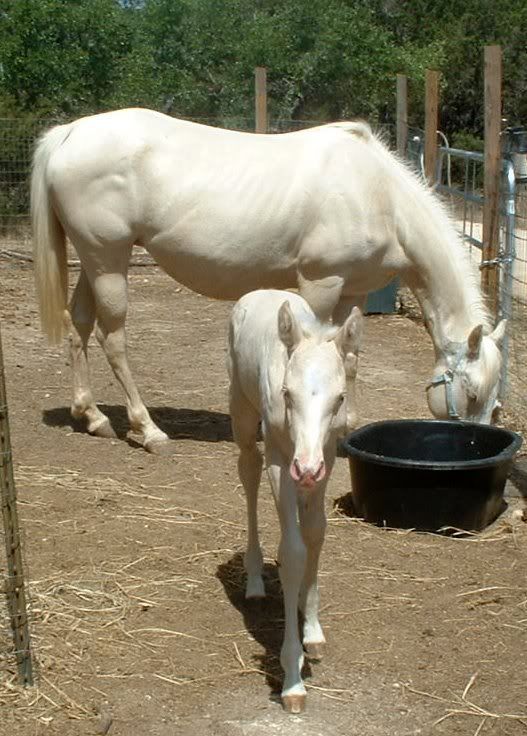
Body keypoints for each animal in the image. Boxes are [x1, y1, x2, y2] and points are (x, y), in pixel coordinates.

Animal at [32, 106, 508, 452]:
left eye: (492, 404)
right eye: (471, 394)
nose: (476, 442)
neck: (378, 195)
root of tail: (70, 133)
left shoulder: (353, 291)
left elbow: (350, 360)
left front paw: (344, 426)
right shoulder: (320, 284)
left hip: (95, 261)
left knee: (78, 325)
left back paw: (92, 417)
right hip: (108, 261)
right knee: (112, 338)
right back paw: (147, 429)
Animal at [227, 288, 364, 712]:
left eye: (340, 398)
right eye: (287, 393)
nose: (304, 469)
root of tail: (264, 291)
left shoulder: (328, 455)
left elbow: (316, 533)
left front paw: (312, 630)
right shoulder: (281, 459)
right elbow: (292, 552)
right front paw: (292, 679)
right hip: (242, 411)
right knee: (248, 470)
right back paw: (255, 578)